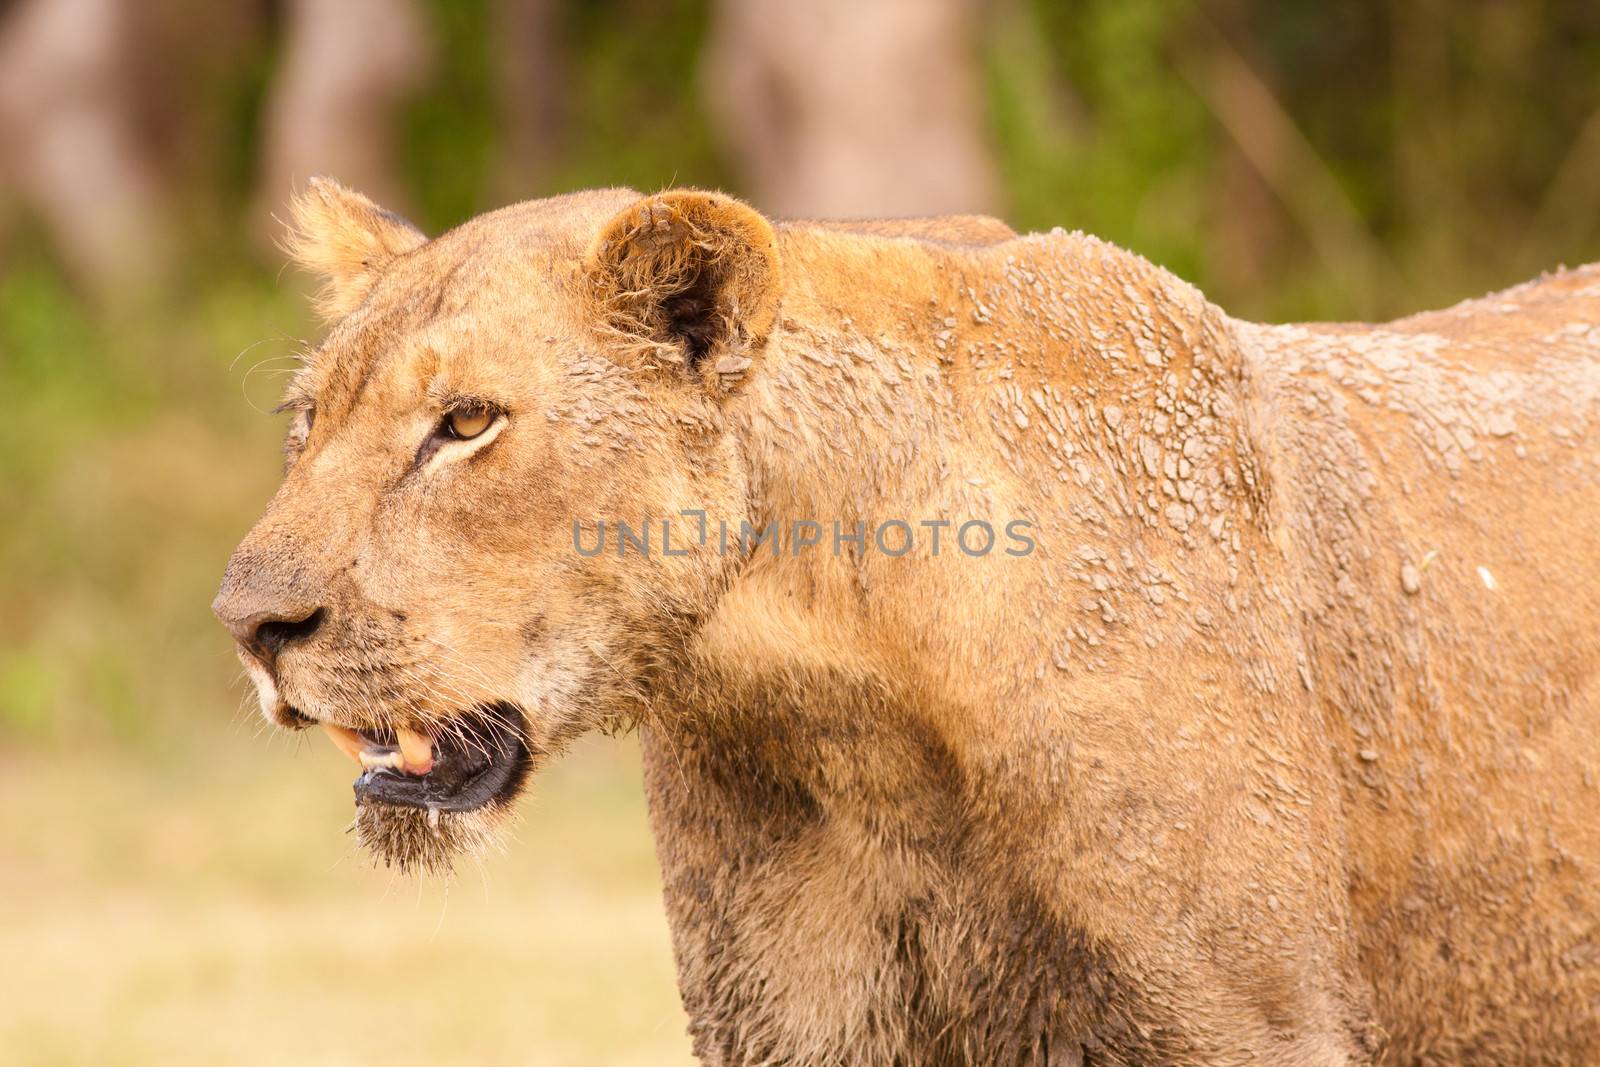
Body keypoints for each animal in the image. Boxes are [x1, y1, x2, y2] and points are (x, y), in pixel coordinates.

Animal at [216, 179, 1600, 1062]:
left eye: (465, 422)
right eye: (307, 421)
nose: (249, 623)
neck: (850, 716)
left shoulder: (1256, 1026)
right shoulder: (794, 1026)